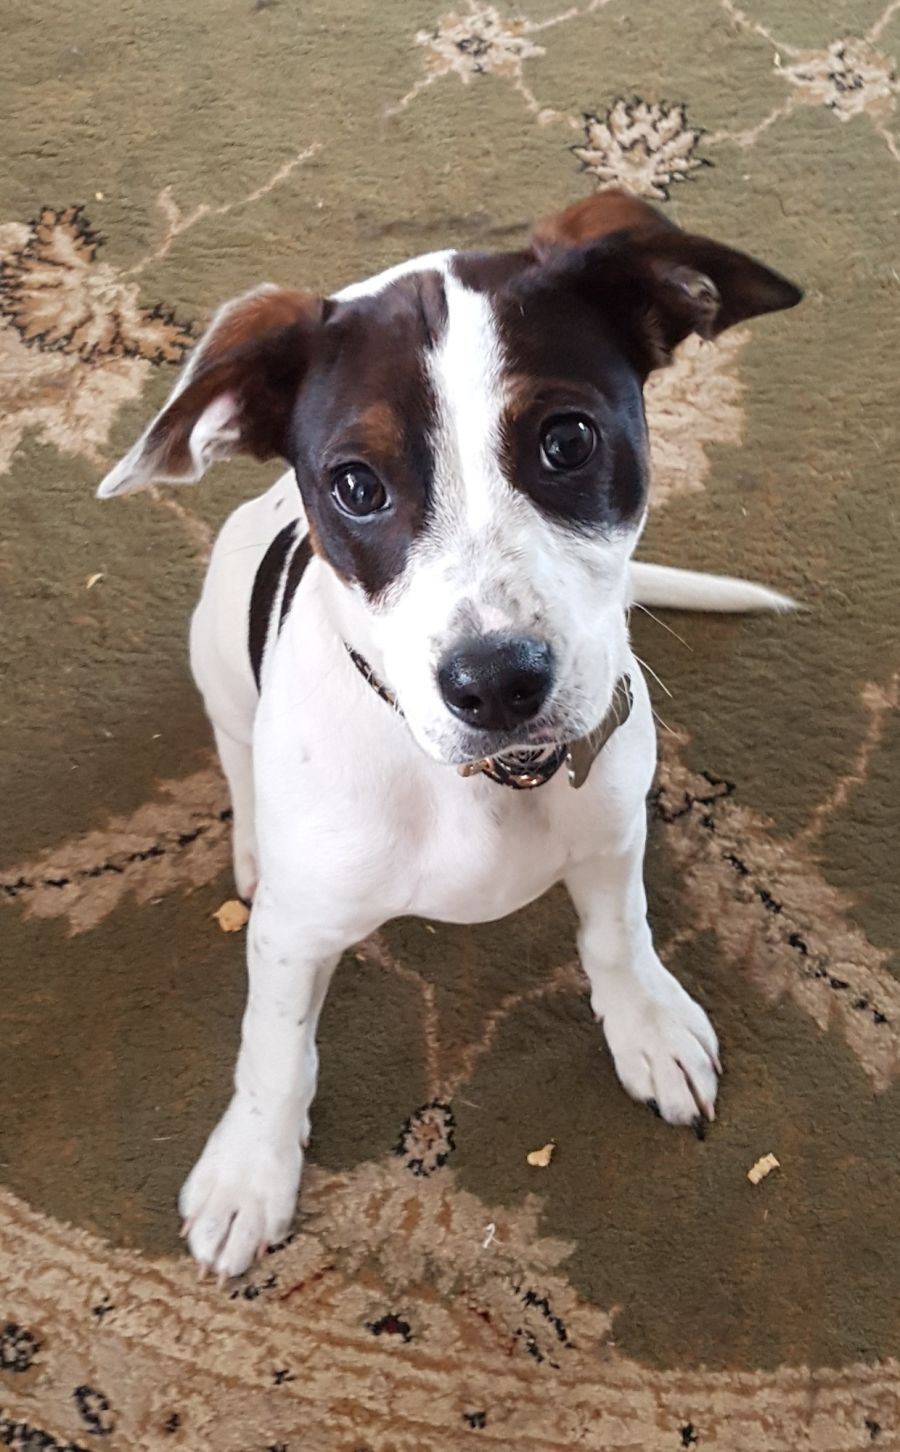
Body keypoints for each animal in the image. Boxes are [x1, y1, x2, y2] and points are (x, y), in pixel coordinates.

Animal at [98, 190, 801, 1279]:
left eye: (567, 441)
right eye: (355, 485)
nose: (499, 683)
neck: (486, 785)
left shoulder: (613, 833)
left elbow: (618, 930)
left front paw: (644, 1022)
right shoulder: (296, 936)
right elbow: (275, 1045)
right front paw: (252, 1168)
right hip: (214, 648)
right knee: (234, 748)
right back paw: (252, 839)